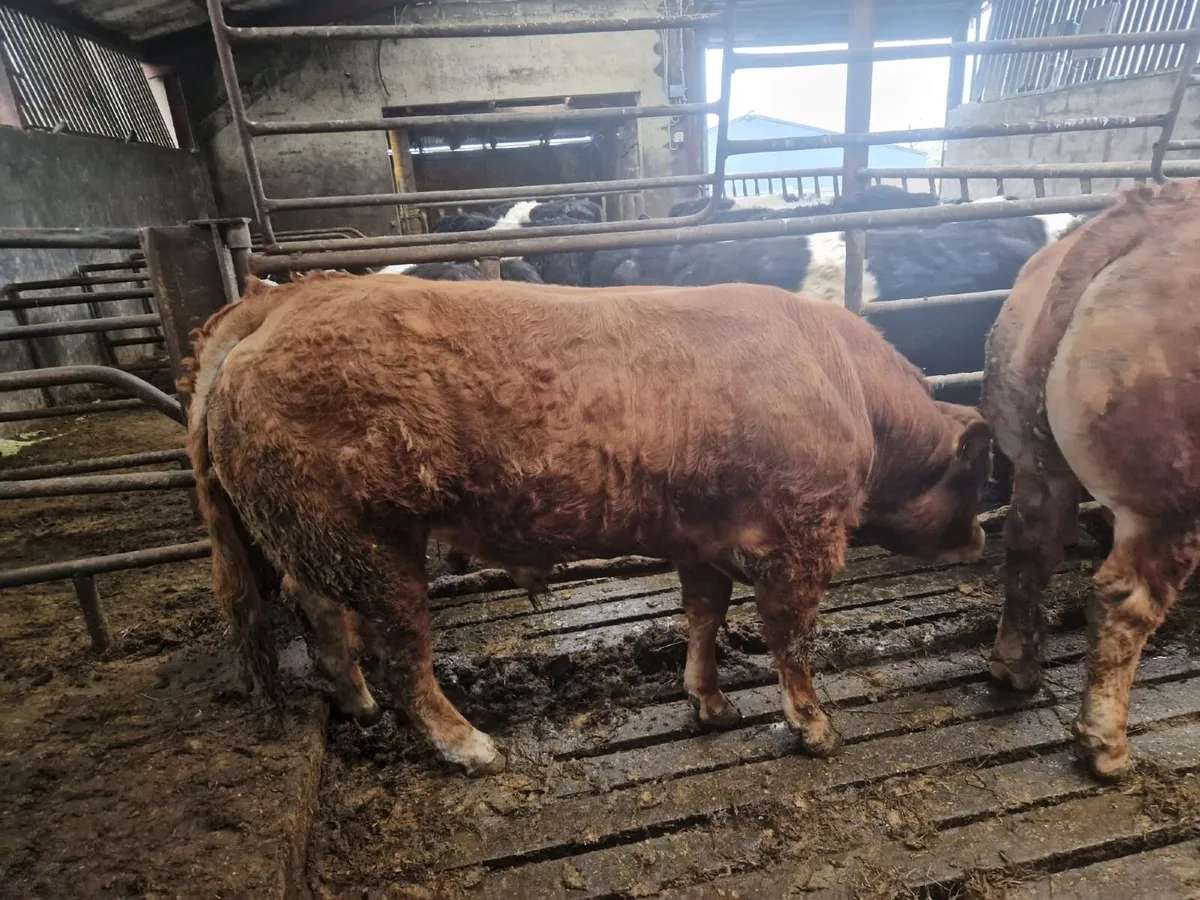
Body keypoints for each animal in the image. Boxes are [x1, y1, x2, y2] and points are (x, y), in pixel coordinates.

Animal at [183, 273, 990, 776]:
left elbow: (704, 617)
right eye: (977, 476)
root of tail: (280, 304)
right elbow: (790, 638)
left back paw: (359, 704)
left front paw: (710, 703)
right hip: (372, 542)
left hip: (316, 534)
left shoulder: (704, 541)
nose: (983, 536)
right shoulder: (800, 538)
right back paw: (472, 747)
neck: (851, 391)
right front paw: (816, 729)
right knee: (402, 652)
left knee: (317, 608)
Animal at [982, 179, 1200, 780]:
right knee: (1127, 601)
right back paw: (1105, 746)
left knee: (1028, 548)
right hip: (1167, 496)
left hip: (1037, 454)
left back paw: (1014, 668)